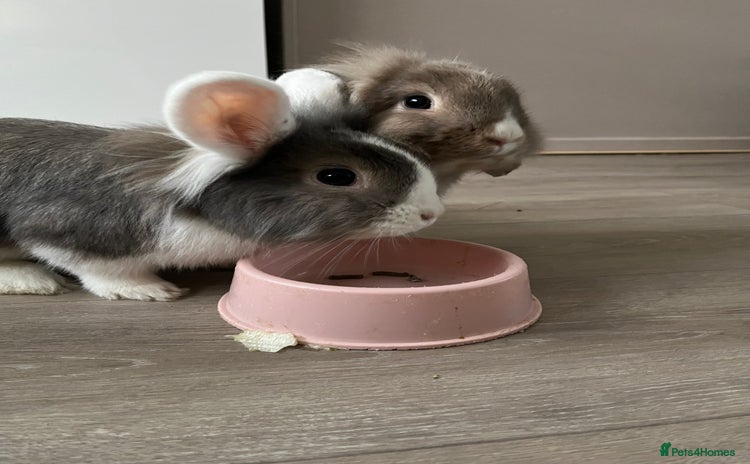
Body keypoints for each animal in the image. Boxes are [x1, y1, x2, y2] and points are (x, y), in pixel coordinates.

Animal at [0, 71, 443, 301]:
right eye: (338, 176)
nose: (432, 211)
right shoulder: (67, 230)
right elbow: (99, 271)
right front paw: (151, 290)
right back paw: (31, 281)